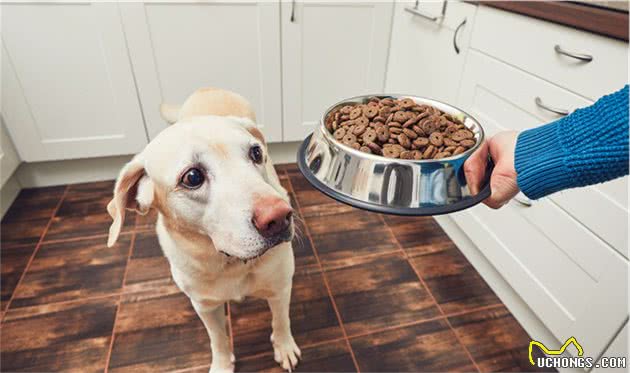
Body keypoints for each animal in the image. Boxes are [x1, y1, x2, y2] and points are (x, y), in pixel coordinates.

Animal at [107, 88, 302, 372]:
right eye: (192, 177)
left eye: (256, 153)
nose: (279, 217)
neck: (230, 263)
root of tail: (208, 88)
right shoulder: (205, 307)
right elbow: (217, 339)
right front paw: (221, 364)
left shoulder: (280, 288)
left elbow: (281, 321)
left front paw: (284, 347)